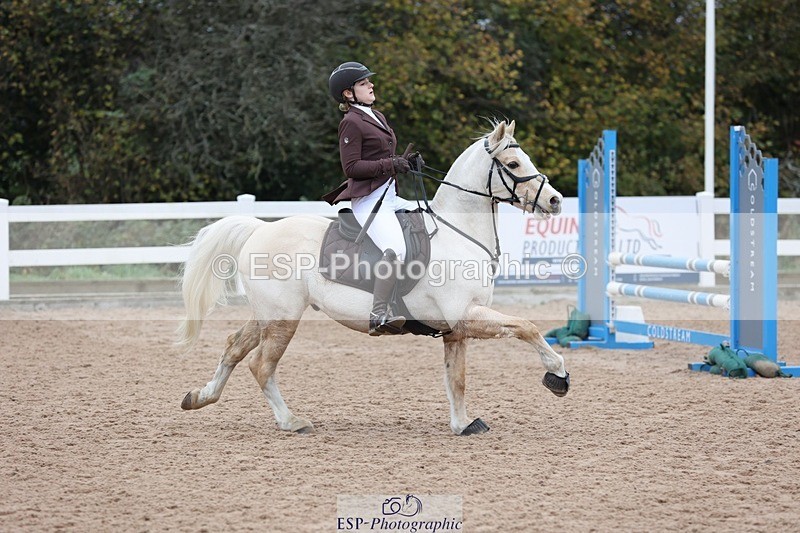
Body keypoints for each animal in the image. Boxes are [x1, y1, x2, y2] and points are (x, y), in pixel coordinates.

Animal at [178, 120, 570, 436]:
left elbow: (456, 379)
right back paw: (291, 422)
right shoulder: (465, 315)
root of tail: (259, 228)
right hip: (283, 319)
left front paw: (462, 425)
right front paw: (558, 376)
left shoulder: (456, 330)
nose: (555, 201)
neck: (458, 233)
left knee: (234, 347)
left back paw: (199, 397)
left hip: (268, 315)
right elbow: (527, 327)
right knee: (261, 365)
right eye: (514, 163)